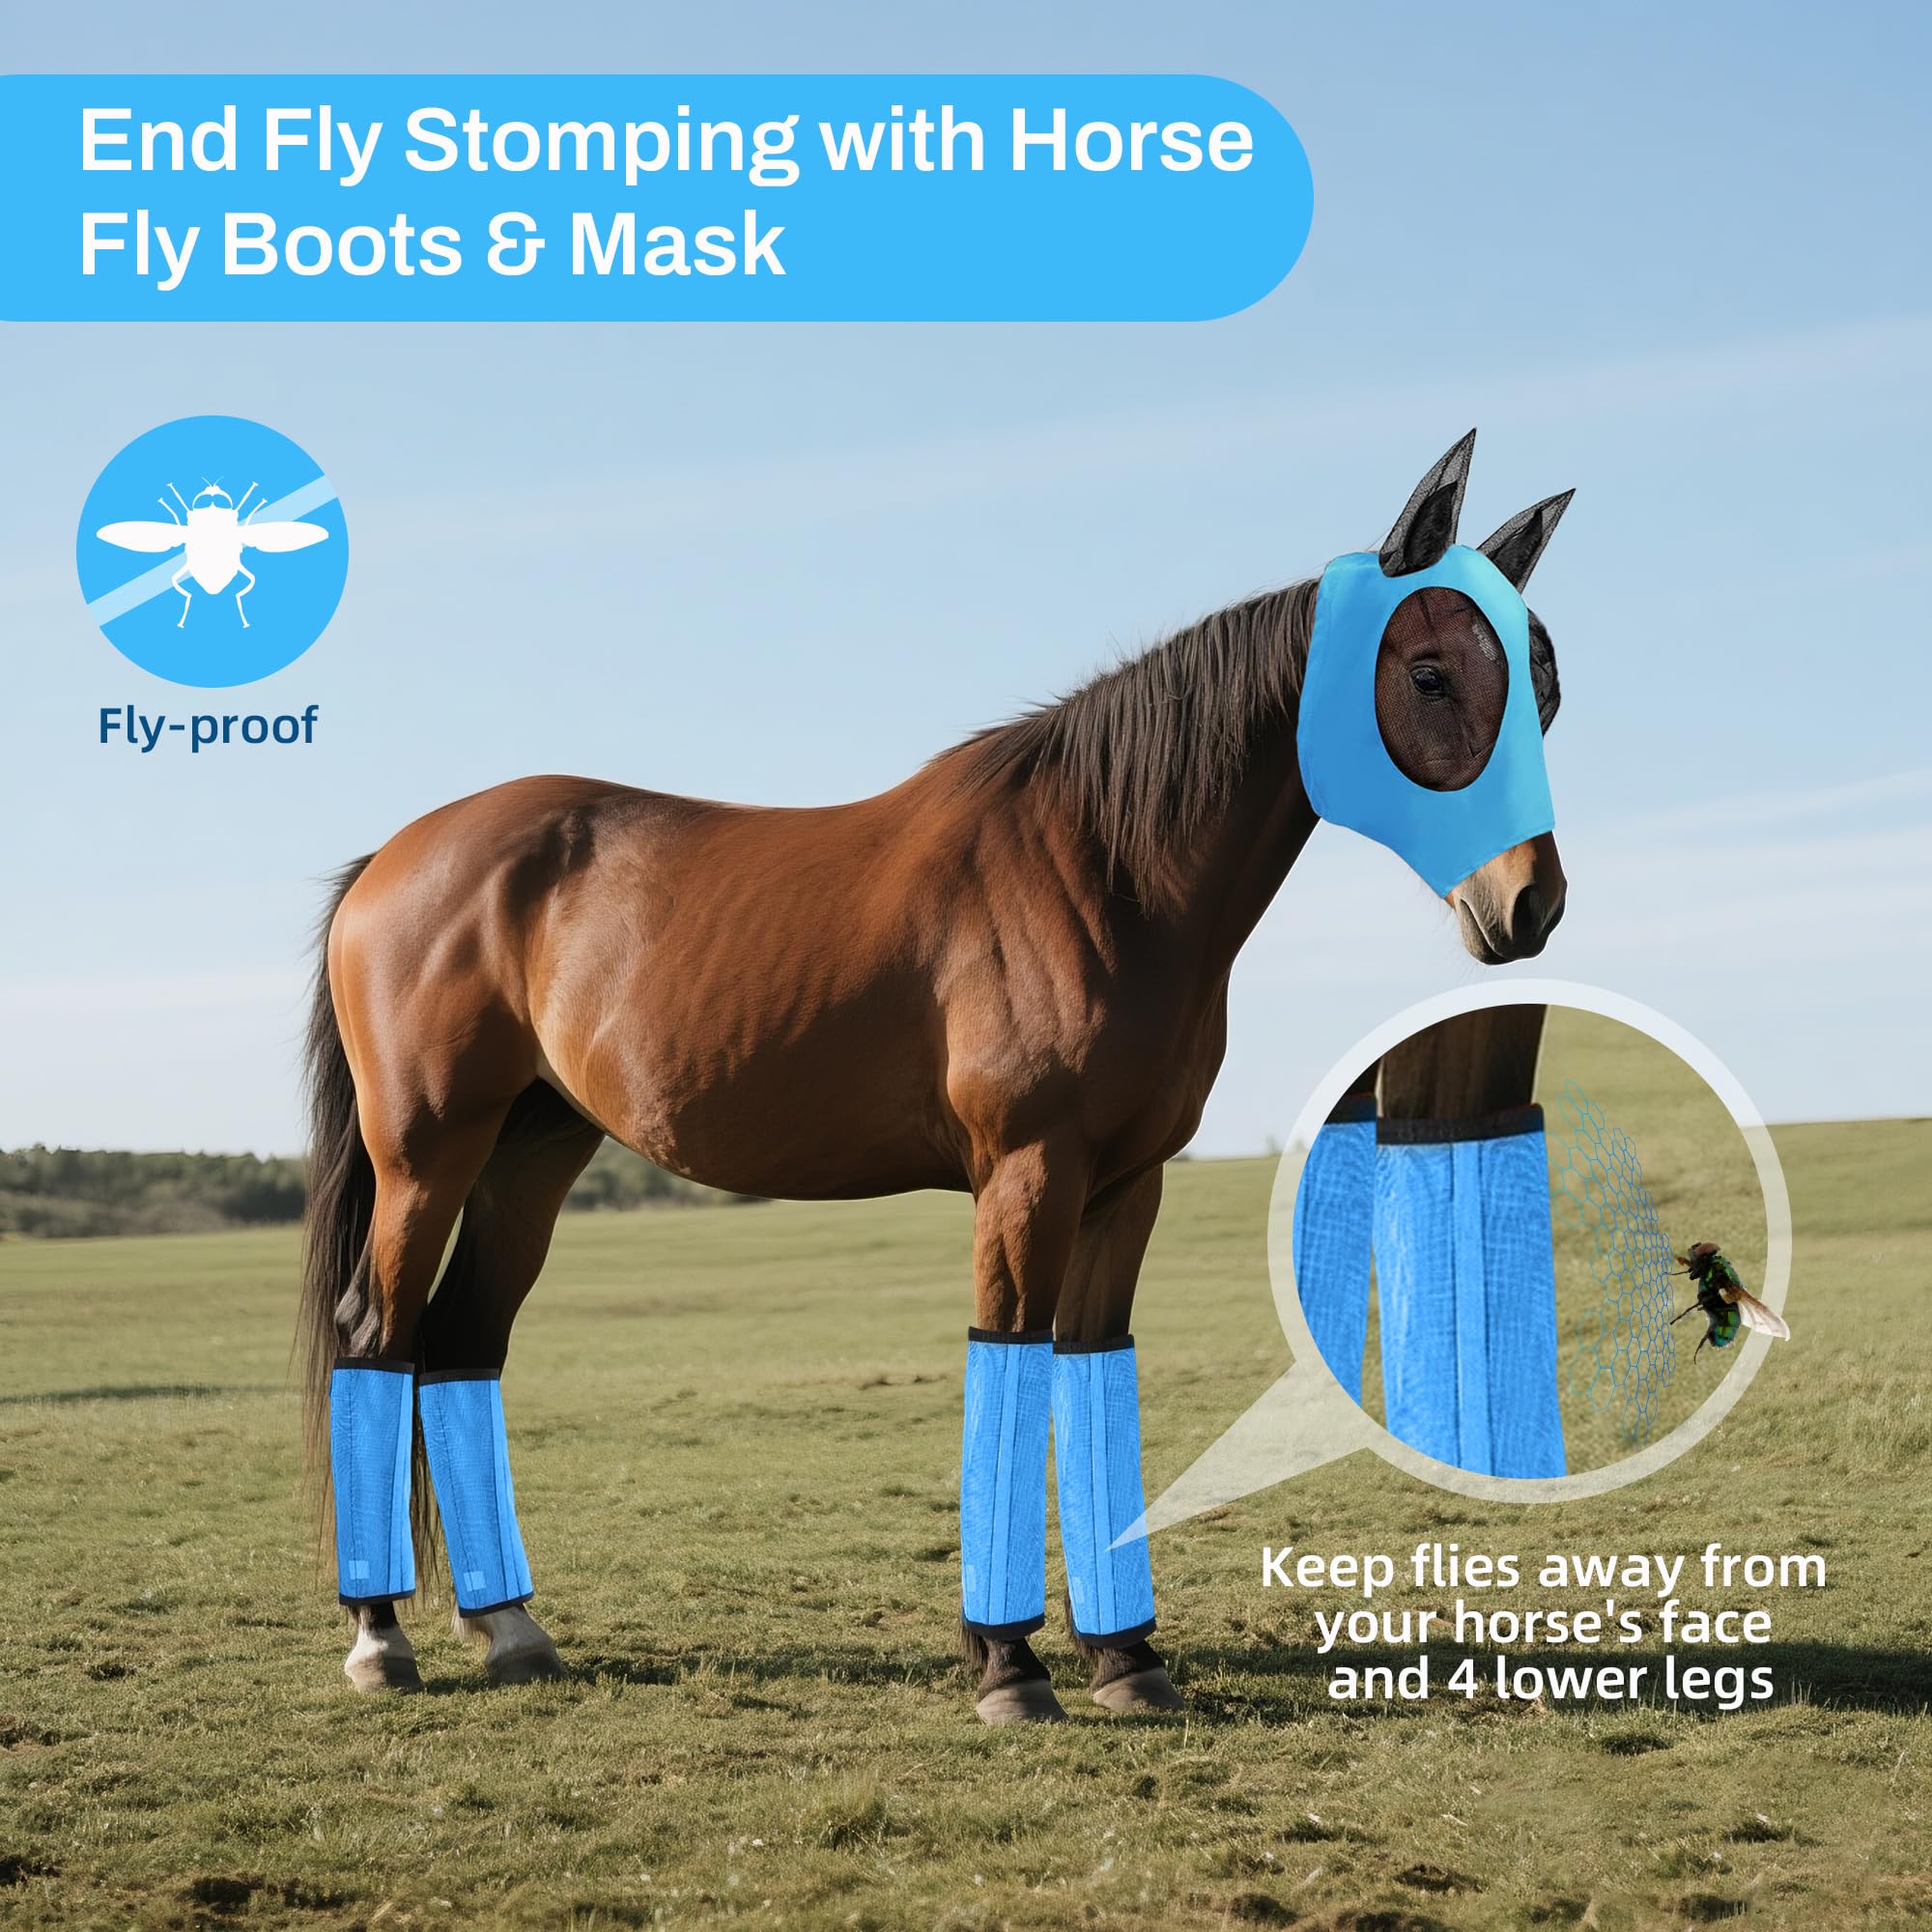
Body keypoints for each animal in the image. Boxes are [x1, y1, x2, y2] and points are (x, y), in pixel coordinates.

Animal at [297, 430, 1572, 1721]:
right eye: (1428, 673)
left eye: (1544, 684)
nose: (1528, 903)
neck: (1099, 869)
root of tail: (393, 858)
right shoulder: (1027, 1173)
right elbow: (1008, 1360)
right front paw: (1009, 1665)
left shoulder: (1126, 1183)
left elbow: (1089, 1368)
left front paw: (1127, 1659)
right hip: (427, 1156)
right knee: (376, 1331)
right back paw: (378, 1638)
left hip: (532, 1154)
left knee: (461, 1341)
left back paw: (509, 1626)